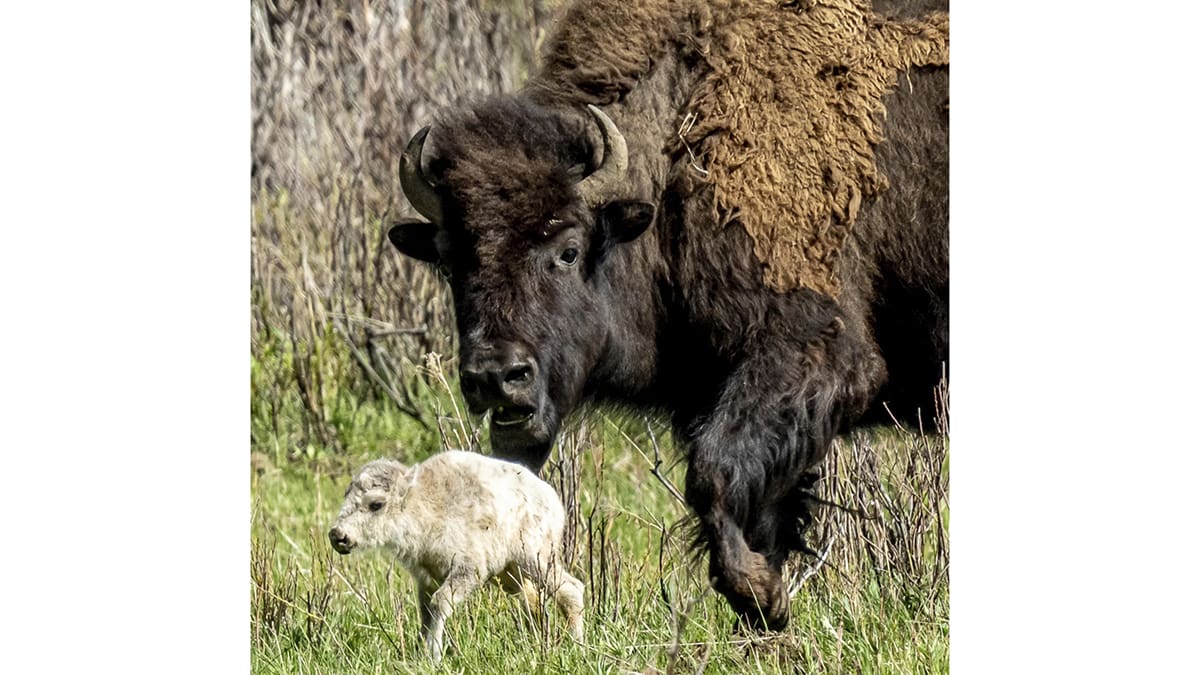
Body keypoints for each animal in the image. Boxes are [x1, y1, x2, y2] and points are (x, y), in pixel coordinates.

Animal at [384, 0, 949, 630]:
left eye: (569, 249)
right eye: (449, 261)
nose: (496, 376)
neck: (681, 151)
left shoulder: (816, 354)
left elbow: (713, 474)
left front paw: (761, 595)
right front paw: (766, 604)